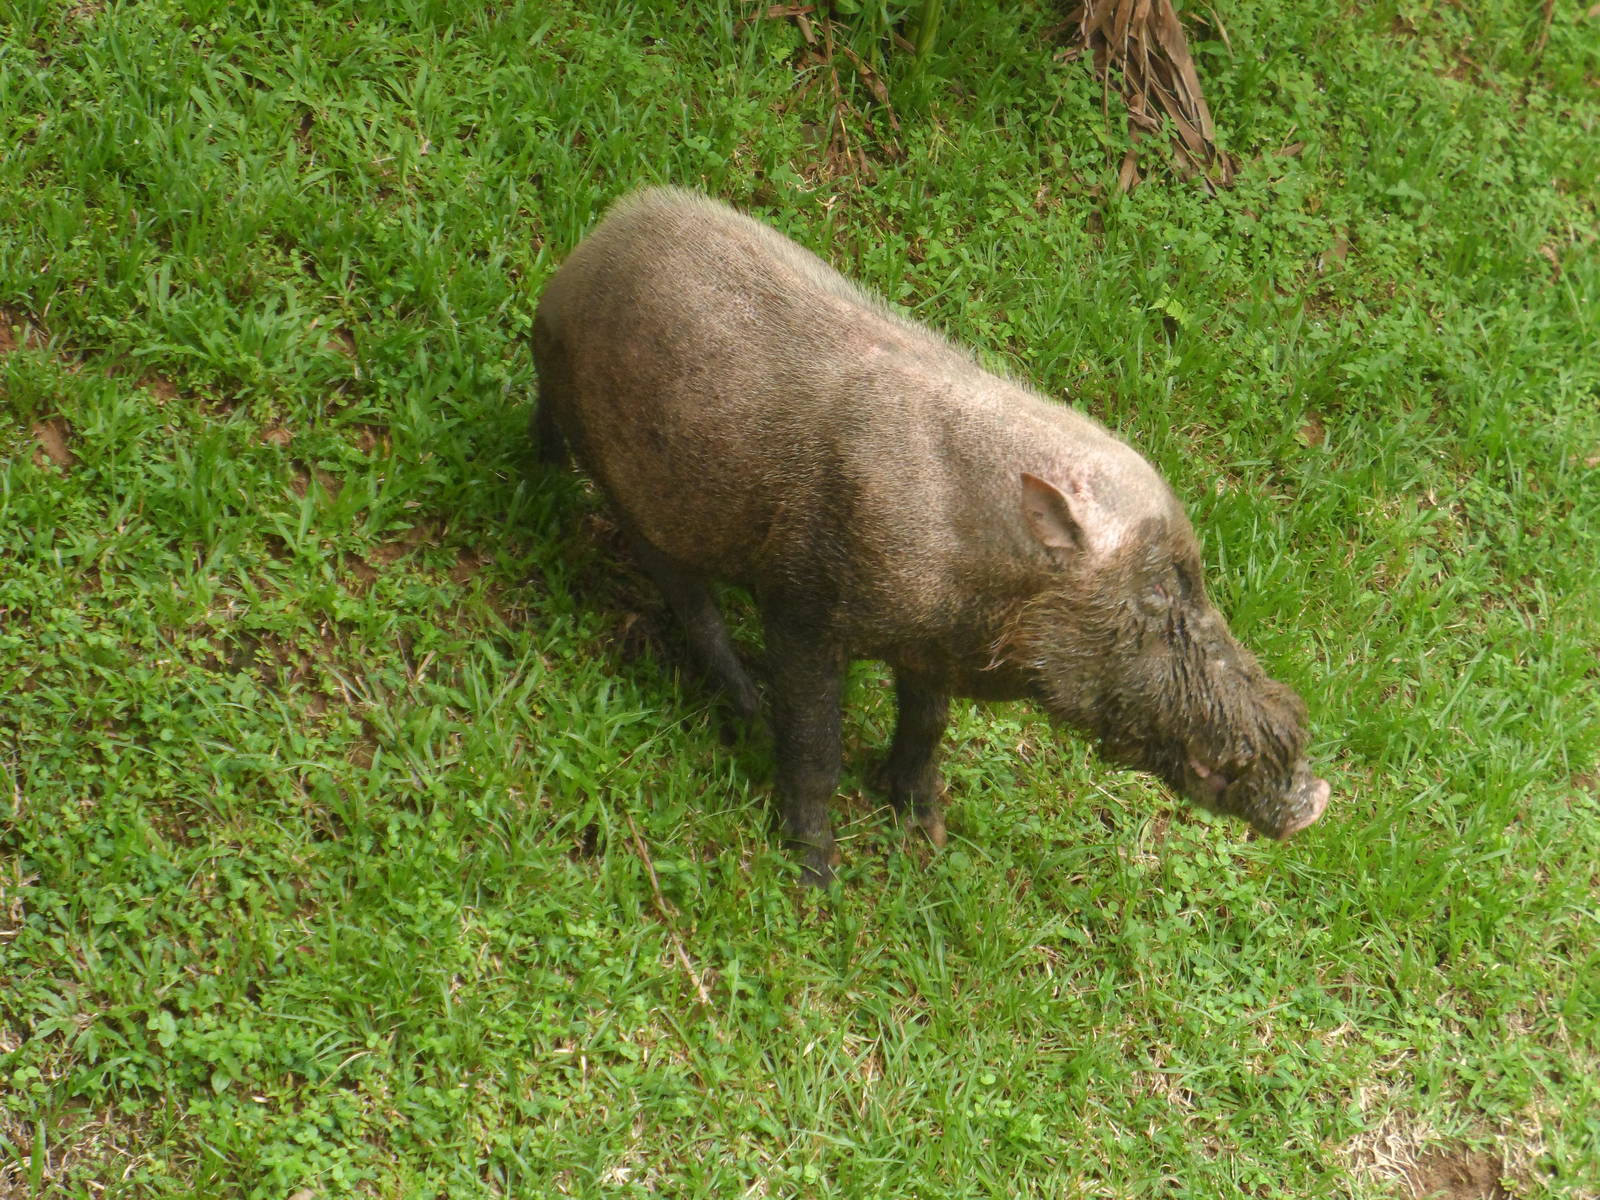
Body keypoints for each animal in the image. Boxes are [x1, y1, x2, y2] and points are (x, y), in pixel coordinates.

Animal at [532, 187, 1329, 884]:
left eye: (1196, 581)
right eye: (1159, 594)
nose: (1314, 800)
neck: (979, 570)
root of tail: (585, 253)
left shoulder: (931, 648)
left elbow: (927, 727)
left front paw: (929, 835)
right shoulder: (801, 606)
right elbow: (815, 748)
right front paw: (815, 878)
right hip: (630, 487)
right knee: (687, 600)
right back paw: (745, 701)